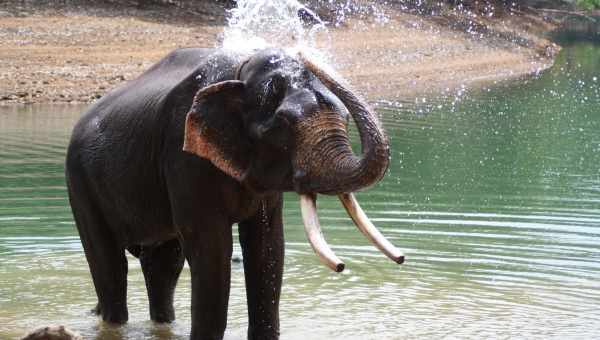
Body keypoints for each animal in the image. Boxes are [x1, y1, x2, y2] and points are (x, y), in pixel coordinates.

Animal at [65, 47, 404, 340]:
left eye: (345, 118)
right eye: (284, 123)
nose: (303, 52)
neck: (242, 70)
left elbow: (268, 246)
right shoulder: (183, 155)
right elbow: (211, 248)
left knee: (163, 265)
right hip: (80, 181)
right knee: (109, 264)